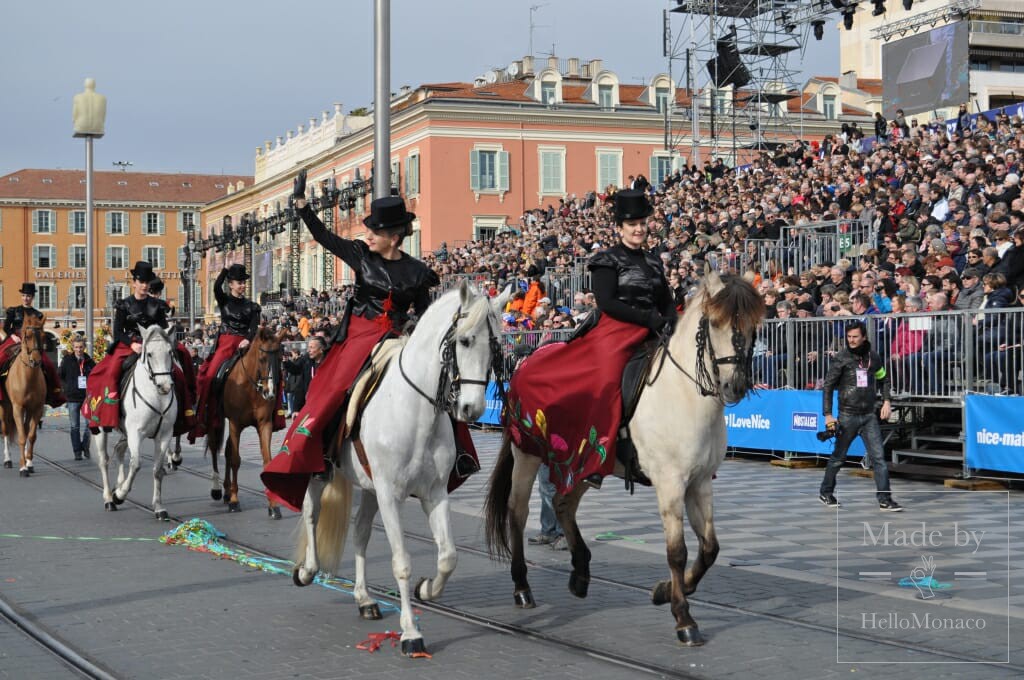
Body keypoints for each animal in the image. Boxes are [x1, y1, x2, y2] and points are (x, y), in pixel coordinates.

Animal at [0, 315, 47, 475]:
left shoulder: (37, 408)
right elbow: (21, 437)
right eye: (27, 336)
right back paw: (7, 460)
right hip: (5, 406)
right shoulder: (18, 408)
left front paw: (29, 463)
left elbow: (31, 436)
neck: (28, 378)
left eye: (44, 336)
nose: (36, 360)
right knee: (6, 430)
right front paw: (22, 467)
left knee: (26, 430)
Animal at [93, 327, 179, 518]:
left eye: (170, 352)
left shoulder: (164, 434)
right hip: (101, 429)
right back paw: (109, 498)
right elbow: (136, 464)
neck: (156, 396)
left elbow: (158, 470)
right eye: (149, 354)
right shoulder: (135, 433)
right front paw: (119, 495)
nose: (165, 386)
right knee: (103, 460)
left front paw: (159, 507)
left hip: (125, 432)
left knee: (119, 449)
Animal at [205, 327, 288, 518]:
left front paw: (273, 505)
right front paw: (235, 501)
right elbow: (236, 459)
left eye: (280, 358)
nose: (270, 392)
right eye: (262, 358)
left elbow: (266, 459)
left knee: (227, 449)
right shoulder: (235, 423)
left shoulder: (265, 425)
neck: (250, 388)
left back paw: (227, 491)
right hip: (215, 420)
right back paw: (217, 490)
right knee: (214, 448)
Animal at [292, 278, 507, 655]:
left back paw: (364, 599)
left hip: (370, 488)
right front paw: (410, 633)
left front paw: (426, 588)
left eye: (496, 348)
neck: (417, 409)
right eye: (465, 340)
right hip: (324, 473)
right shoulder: (391, 494)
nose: (473, 409)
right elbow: (402, 562)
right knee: (312, 513)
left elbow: (448, 556)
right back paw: (307, 570)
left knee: (361, 532)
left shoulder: (433, 494)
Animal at [483, 270, 765, 643]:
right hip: (528, 454)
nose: (735, 386)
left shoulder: (700, 482)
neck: (684, 395)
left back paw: (580, 573)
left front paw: (663, 592)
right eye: (715, 323)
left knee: (562, 503)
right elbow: (677, 552)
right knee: (517, 511)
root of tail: (527, 359)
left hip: (587, 461)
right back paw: (522, 587)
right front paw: (683, 618)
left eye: (752, 325)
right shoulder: (670, 484)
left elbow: (710, 549)